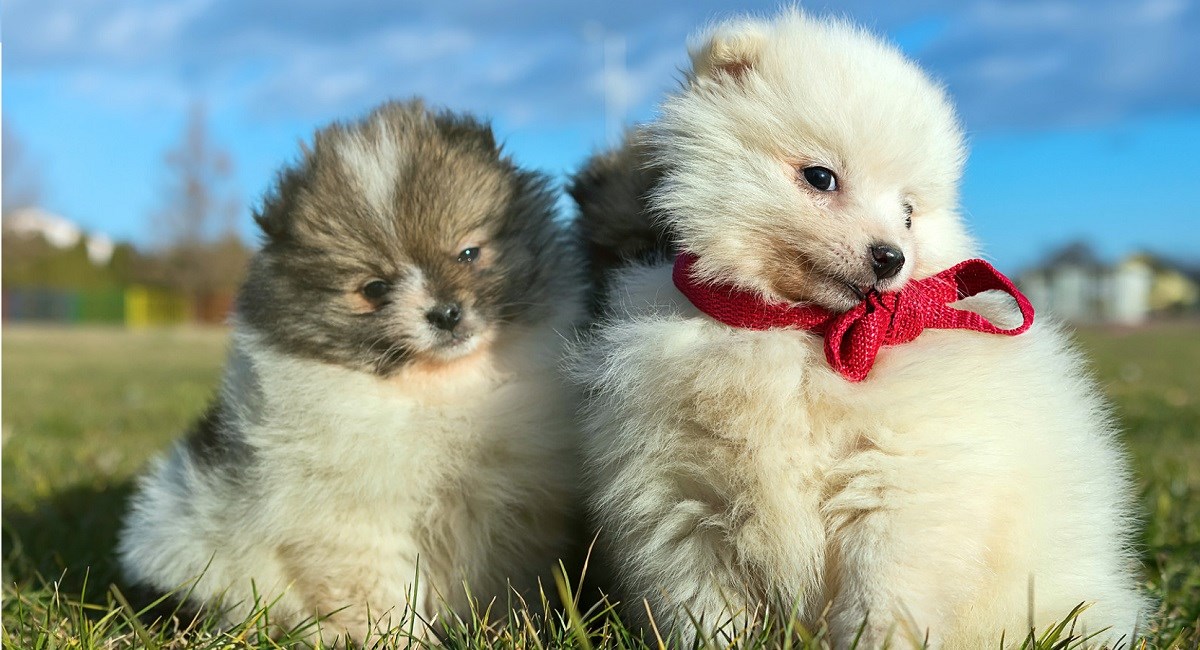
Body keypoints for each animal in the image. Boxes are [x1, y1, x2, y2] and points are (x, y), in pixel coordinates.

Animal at [118, 101, 585, 647]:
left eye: (469, 253)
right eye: (375, 288)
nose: (446, 313)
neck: (434, 390)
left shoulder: (504, 507)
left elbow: (497, 579)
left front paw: (503, 628)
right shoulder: (350, 520)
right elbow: (377, 592)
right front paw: (394, 639)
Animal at [573, 11, 1152, 650]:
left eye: (908, 212)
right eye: (820, 177)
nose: (891, 257)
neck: (802, 332)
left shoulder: (902, 485)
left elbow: (884, 592)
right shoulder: (683, 499)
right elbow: (705, 609)